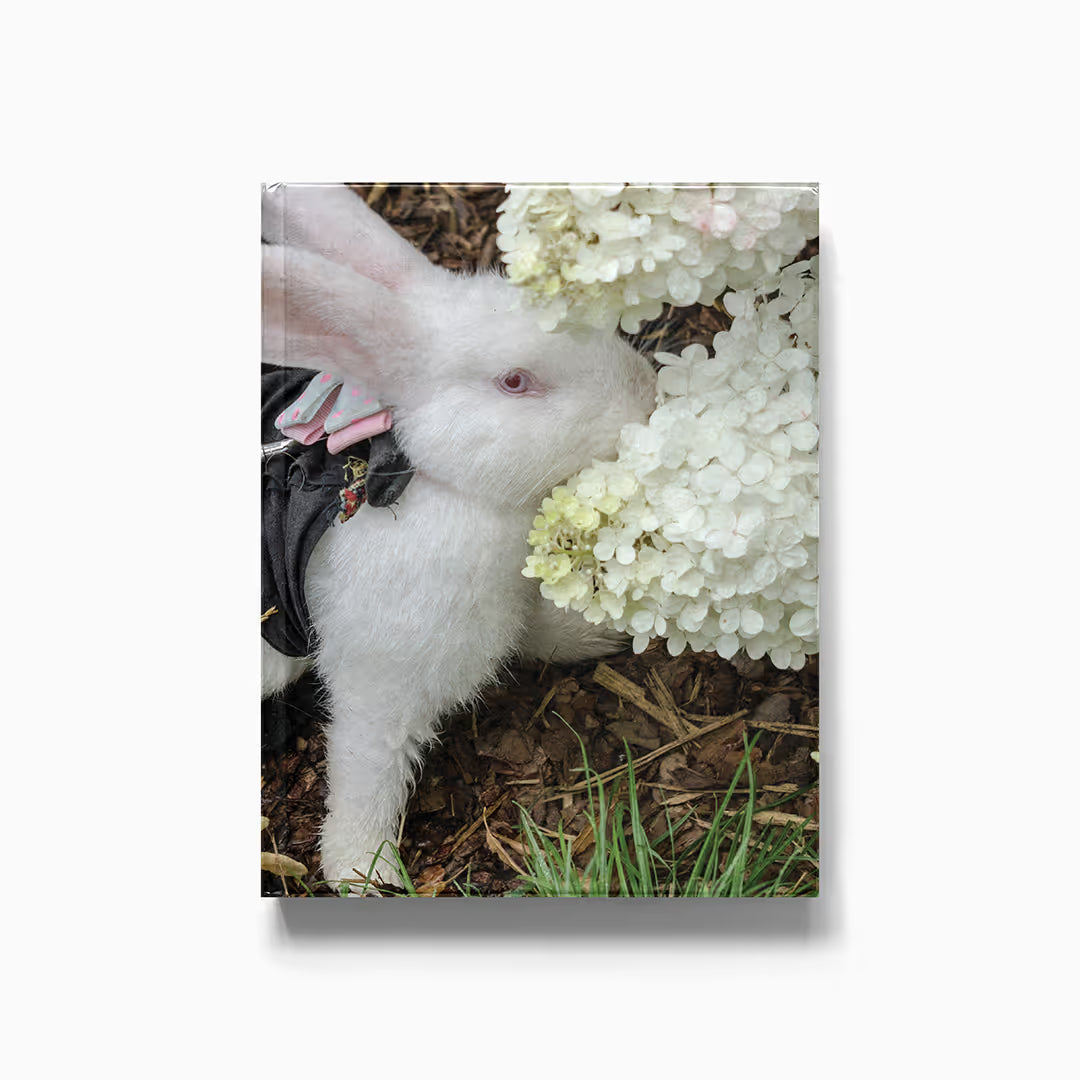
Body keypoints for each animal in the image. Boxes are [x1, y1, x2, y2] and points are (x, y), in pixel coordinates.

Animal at [261, 184, 657, 892]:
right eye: (515, 381)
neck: (443, 484)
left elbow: (542, 636)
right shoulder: (379, 688)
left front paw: (599, 637)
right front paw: (364, 872)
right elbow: (368, 773)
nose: (649, 393)